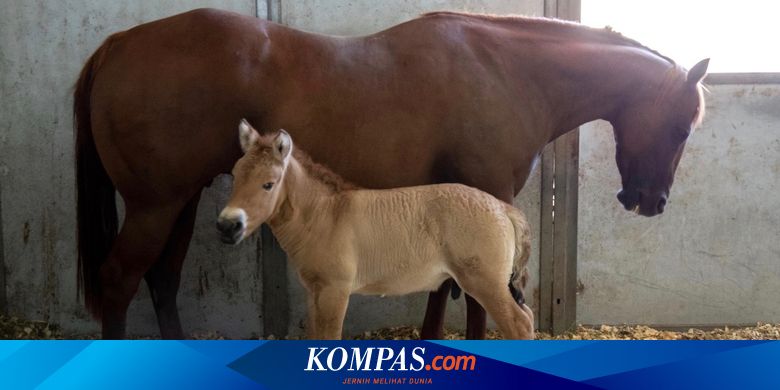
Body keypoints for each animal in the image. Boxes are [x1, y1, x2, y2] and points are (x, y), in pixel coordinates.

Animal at [219, 121, 536, 338]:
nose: (227, 225)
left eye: (268, 184)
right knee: (528, 317)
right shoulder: (314, 292)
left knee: (519, 324)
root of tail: (502, 208)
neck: (325, 215)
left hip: (486, 283)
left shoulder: (335, 291)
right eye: (235, 175)